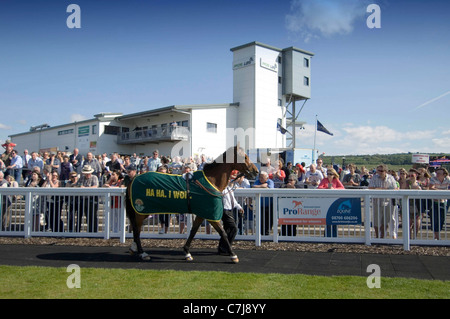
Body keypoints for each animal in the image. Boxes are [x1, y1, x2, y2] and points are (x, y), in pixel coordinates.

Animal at [125, 146, 258, 264]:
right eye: (245, 157)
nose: (256, 171)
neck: (211, 181)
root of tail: (133, 179)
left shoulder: (202, 213)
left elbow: (193, 231)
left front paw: (187, 252)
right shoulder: (211, 214)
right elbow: (223, 233)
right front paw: (233, 255)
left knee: (136, 230)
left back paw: (133, 248)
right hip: (141, 211)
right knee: (136, 231)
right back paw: (142, 253)